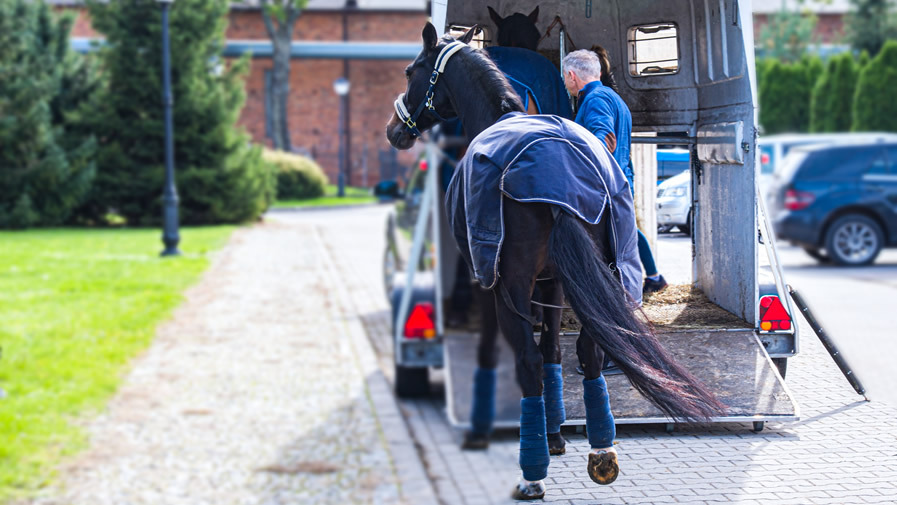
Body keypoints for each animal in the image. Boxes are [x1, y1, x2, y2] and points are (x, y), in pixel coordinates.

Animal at [384, 23, 720, 496]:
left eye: (410, 70)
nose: (394, 129)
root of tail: (559, 174)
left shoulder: (491, 281)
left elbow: (501, 354)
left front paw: (487, 429)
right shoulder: (555, 283)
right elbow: (553, 353)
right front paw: (557, 434)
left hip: (512, 285)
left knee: (526, 361)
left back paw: (531, 473)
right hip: (594, 278)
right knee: (589, 352)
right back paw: (601, 450)